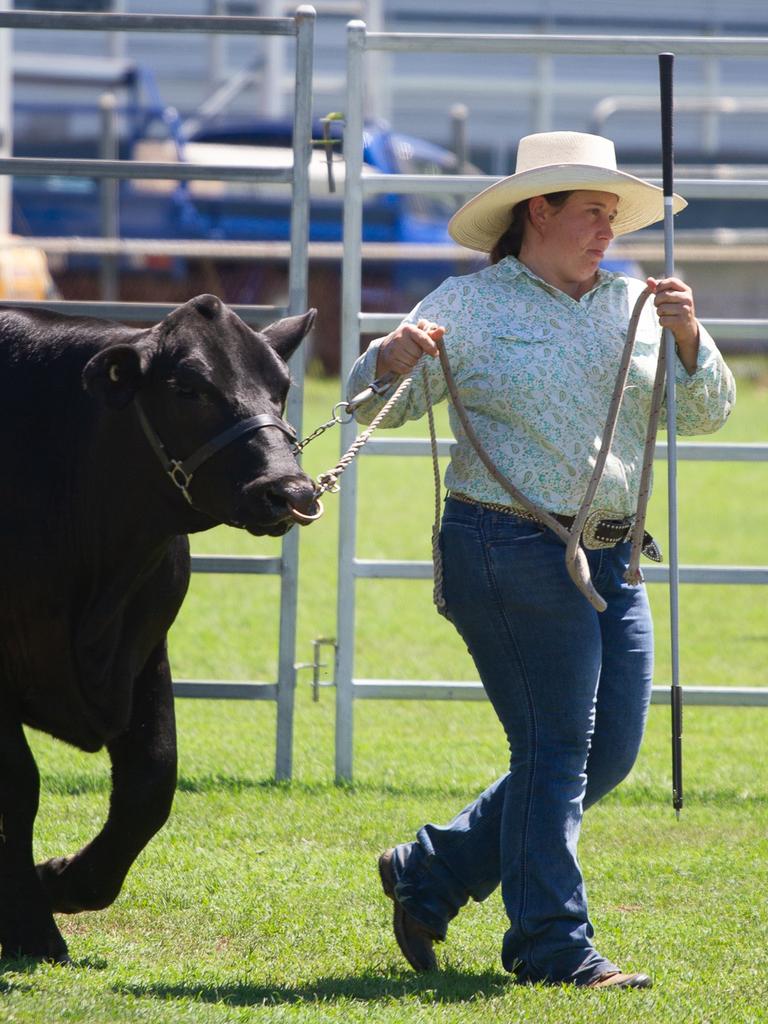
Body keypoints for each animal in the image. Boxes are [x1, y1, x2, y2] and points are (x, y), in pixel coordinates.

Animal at [0, 294, 319, 958]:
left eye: (281, 388)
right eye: (187, 388)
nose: (289, 490)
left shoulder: (143, 647)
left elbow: (151, 782)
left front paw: (61, 880)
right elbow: (18, 784)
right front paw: (28, 924)